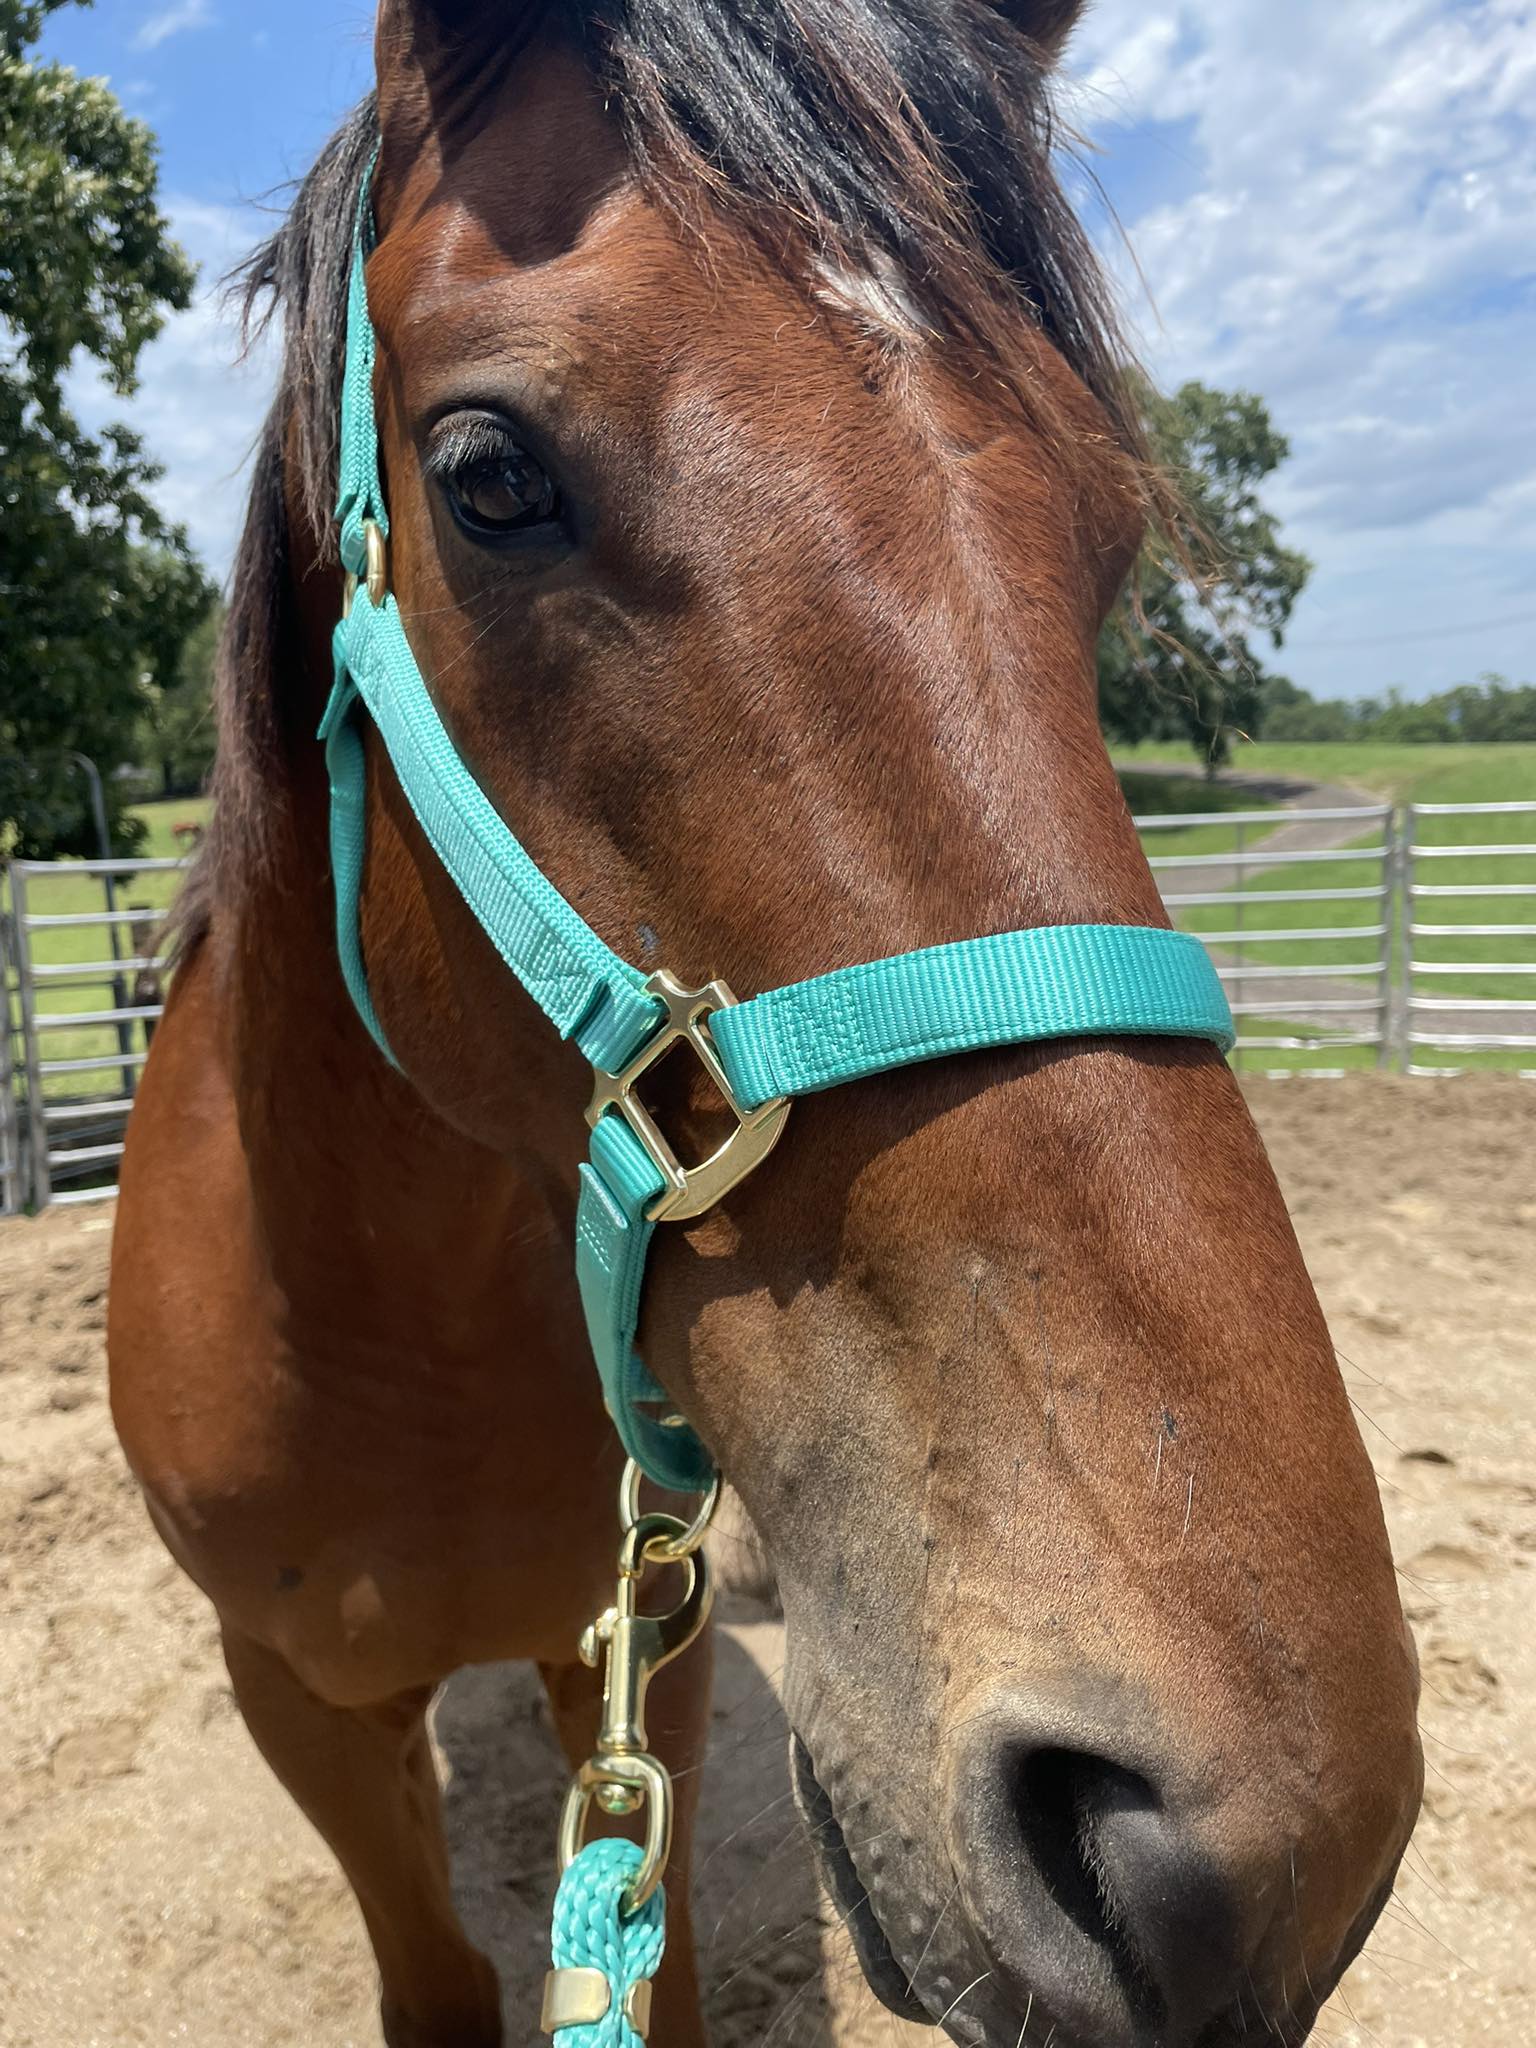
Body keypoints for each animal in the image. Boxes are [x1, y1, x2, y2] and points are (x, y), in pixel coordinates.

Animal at [107, 3, 1423, 2045]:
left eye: (1108, 527)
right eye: (488, 475)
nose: (1273, 1844)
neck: (388, 1336)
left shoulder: (650, 1662)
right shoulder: (302, 1703)